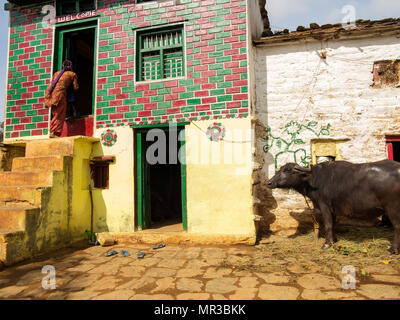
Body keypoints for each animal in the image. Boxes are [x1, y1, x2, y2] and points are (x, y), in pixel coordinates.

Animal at [268, 161, 400, 254]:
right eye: (280, 169)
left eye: (288, 170)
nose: (269, 183)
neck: (315, 180)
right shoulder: (333, 209)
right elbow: (333, 224)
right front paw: (334, 240)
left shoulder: (324, 206)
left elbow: (328, 224)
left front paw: (327, 244)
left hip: (393, 208)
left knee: (397, 226)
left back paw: (392, 249)